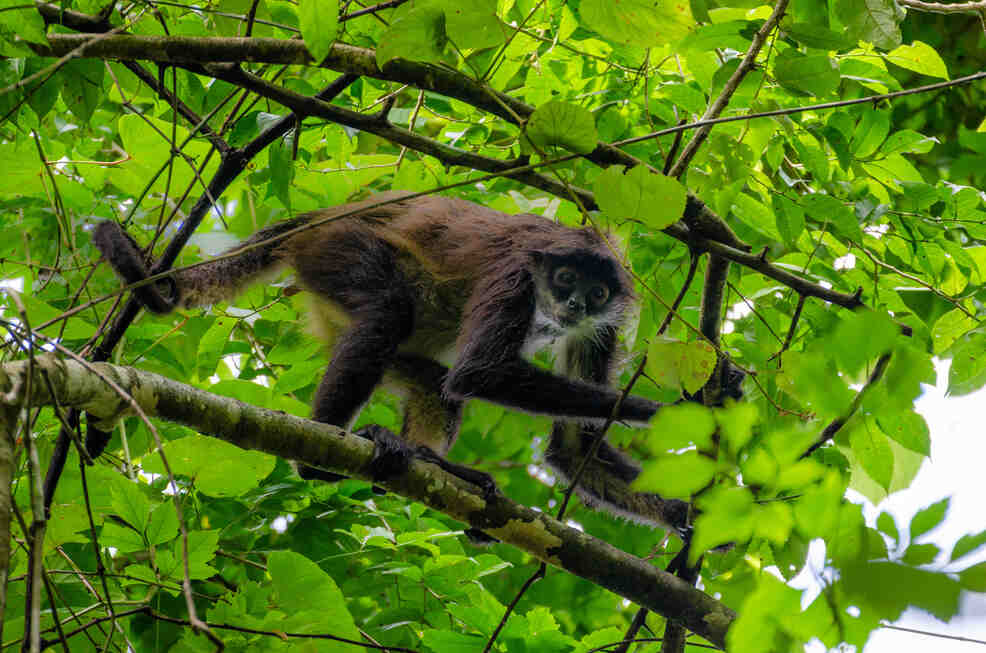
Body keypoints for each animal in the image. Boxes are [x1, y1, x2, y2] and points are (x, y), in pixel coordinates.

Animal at [92, 192, 692, 536]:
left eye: (596, 294)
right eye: (565, 280)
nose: (572, 306)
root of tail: (321, 219)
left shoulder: (607, 323)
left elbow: (572, 445)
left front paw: (684, 514)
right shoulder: (518, 274)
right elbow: (478, 374)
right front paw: (659, 412)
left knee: (432, 381)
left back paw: (432, 463)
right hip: (339, 251)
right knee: (389, 311)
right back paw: (322, 455)